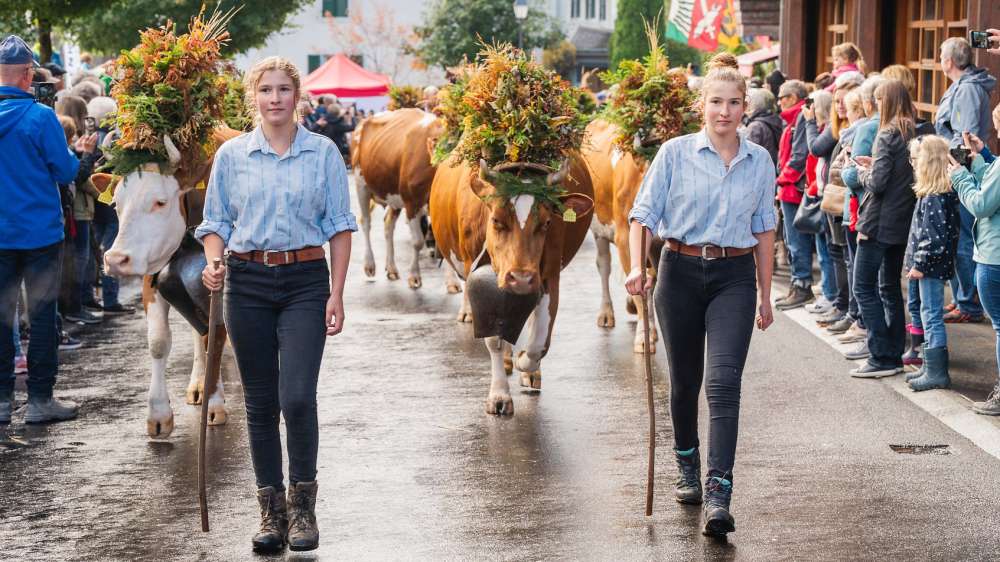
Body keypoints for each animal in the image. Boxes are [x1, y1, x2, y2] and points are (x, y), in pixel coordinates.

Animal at [99, 128, 244, 438]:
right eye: (116, 204)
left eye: (160, 202)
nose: (115, 260)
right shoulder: (150, 274)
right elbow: (159, 341)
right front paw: (158, 415)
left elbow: (216, 337)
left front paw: (215, 405)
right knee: (196, 333)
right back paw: (198, 384)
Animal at [352, 107, 458, 288]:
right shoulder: (411, 203)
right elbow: (417, 241)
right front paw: (414, 275)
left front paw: (452, 282)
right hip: (361, 185)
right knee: (366, 223)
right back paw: (369, 265)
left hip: (393, 197)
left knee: (388, 225)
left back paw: (392, 269)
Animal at [430, 153, 592, 412]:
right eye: (496, 219)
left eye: (546, 223)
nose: (521, 278)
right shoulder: (477, 272)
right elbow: (493, 338)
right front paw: (499, 395)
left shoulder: (549, 276)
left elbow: (539, 342)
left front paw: (524, 361)